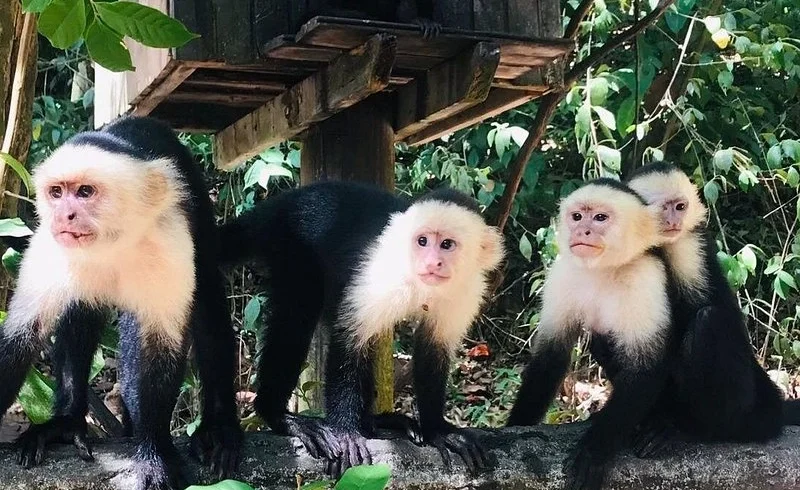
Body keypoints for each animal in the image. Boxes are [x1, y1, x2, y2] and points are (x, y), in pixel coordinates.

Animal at [0, 117, 241, 489]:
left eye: (85, 192)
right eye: (56, 193)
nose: (64, 216)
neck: (112, 242)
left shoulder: (169, 240)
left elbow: (160, 347)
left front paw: (154, 451)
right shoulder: (50, 246)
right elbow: (21, 337)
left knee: (207, 300)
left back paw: (219, 429)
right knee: (81, 313)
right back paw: (67, 422)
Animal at [219, 181, 504, 477]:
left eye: (447, 244)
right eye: (422, 241)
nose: (431, 263)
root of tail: (279, 204)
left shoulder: (467, 290)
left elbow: (433, 349)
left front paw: (439, 430)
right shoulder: (380, 273)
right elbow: (350, 339)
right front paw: (345, 432)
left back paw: (376, 422)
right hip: (289, 243)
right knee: (299, 310)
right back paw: (279, 415)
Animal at [506, 178, 679, 490]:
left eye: (600, 218)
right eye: (577, 217)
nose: (581, 231)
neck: (604, 269)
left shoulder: (646, 275)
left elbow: (647, 367)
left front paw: (594, 449)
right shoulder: (563, 272)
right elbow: (549, 358)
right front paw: (517, 425)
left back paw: (668, 425)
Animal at [624, 161, 800, 456]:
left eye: (680, 207)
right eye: (663, 209)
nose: (674, 222)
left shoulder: (688, 247)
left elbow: (698, 309)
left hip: (744, 405)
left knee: (709, 321)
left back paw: (688, 427)